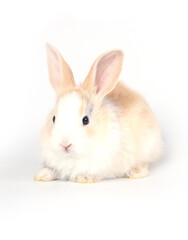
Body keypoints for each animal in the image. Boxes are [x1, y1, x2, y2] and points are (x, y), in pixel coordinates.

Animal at [34, 44, 163, 183]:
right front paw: (42, 175)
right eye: (54, 118)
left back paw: (134, 172)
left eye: (86, 120)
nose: (65, 144)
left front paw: (84, 178)